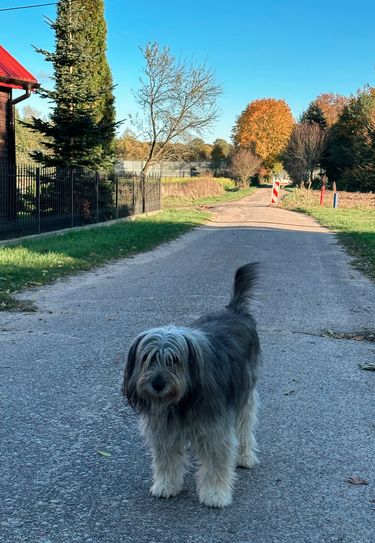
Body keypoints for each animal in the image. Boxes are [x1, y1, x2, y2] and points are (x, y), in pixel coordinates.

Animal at [123, 264, 262, 510]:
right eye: (149, 358)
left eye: (174, 360)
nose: (157, 384)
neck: (183, 399)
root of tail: (234, 310)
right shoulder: (164, 428)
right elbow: (166, 459)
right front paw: (166, 485)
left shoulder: (215, 427)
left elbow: (217, 462)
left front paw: (215, 493)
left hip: (244, 393)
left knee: (245, 426)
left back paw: (245, 457)